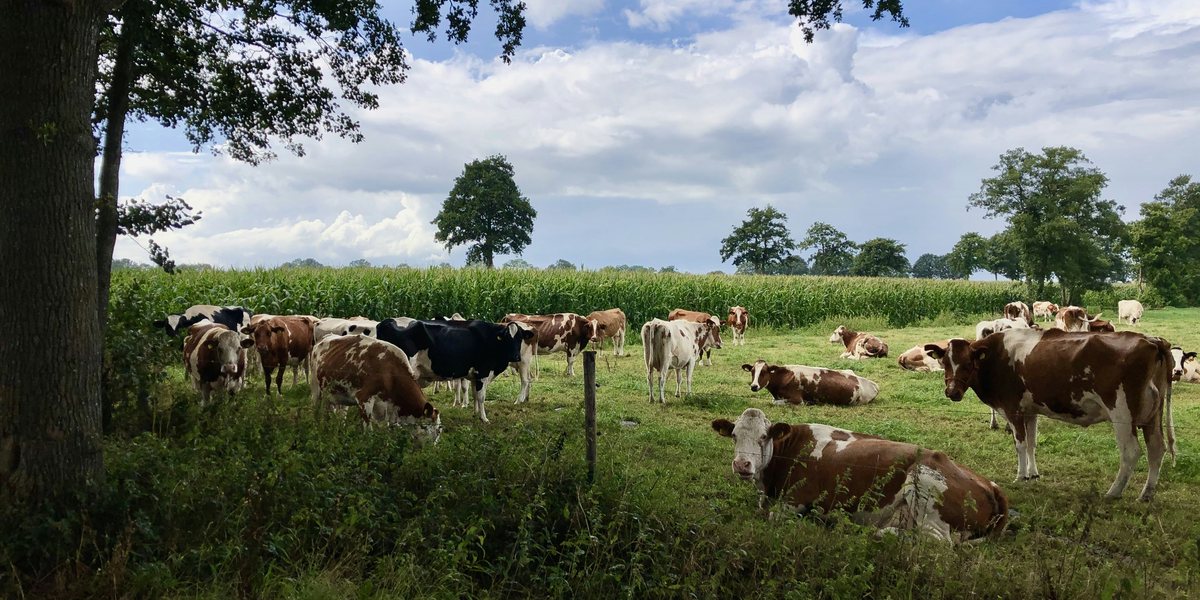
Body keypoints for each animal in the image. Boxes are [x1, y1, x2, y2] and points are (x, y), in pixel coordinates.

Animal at [309, 334, 442, 445]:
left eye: (439, 431)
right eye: (428, 427)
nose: (431, 450)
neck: (390, 372)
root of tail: (325, 337)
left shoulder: (387, 409)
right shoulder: (364, 399)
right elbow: (368, 431)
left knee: (335, 413)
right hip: (316, 387)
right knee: (316, 409)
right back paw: (316, 429)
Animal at [375, 319, 534, 423]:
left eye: (520, 338)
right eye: (507, 337)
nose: (516, 356)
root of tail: (386, 322)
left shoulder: (475, 375)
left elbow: (475, 395)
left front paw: (476, 414)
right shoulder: (483, 373)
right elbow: (481, 397)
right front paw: (484, 418)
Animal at [711, 408, 1009, 542]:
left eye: (763, 437)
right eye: (734, 435)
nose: (742, 465)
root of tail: (990, 483)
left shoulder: (796, 501)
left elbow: (774, 516)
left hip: (925, 485)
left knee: (937, 541)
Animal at [742, 360, 878, 406]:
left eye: (764, 372)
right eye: (752, 371)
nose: (754, 386)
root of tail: (874, 384)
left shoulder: (797, 400)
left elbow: (774, 402)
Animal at [925, 328, 1176, 500]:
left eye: (968, 363)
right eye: (944, 363)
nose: (952, 392)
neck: (997, 356)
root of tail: (1152, 341)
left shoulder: (1013, 409)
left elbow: (1020, 444)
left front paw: (1020, 476)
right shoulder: (1030, 411)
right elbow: (1032, 443)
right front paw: (1033, 474)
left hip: (1122, 413)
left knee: (1131, 452)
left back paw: (1113, 492)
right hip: (1152, 416)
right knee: (1156, 449)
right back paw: (1146, 494)